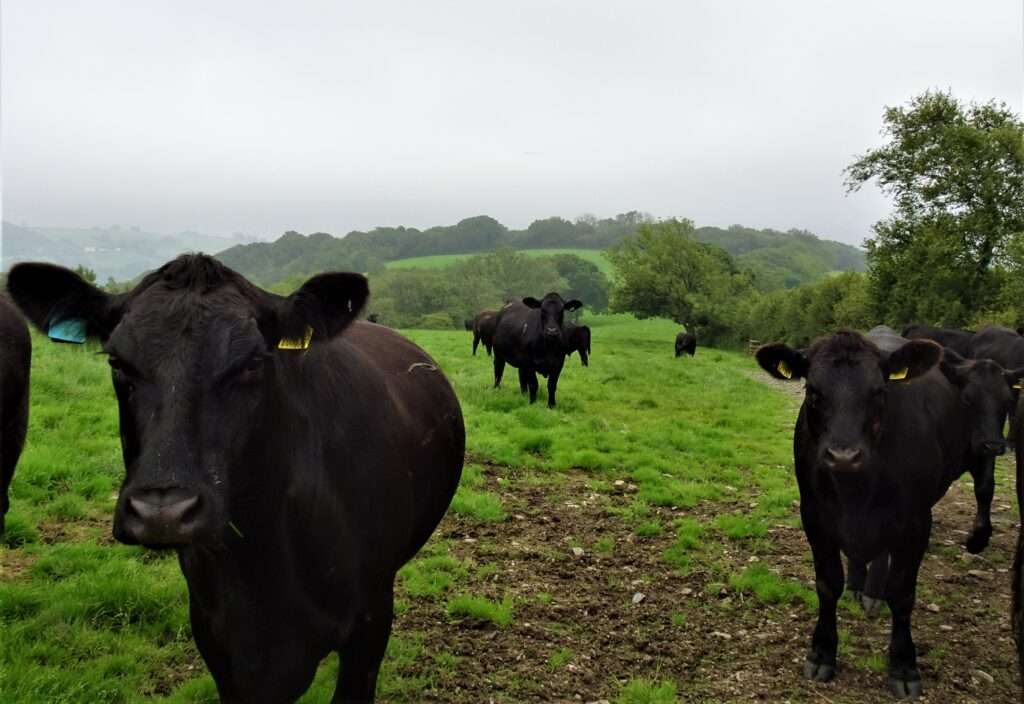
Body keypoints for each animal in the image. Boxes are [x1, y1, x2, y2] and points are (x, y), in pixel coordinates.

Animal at [757, 329, 970, 699]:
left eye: (879, 391)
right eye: (813, 391)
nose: (844, 455)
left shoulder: (916, 521)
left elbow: (902, 593)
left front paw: (903, 667)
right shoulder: (814, 515)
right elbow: (828, 584)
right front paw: (822, 653)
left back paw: (872, 594)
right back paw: (858, 586)